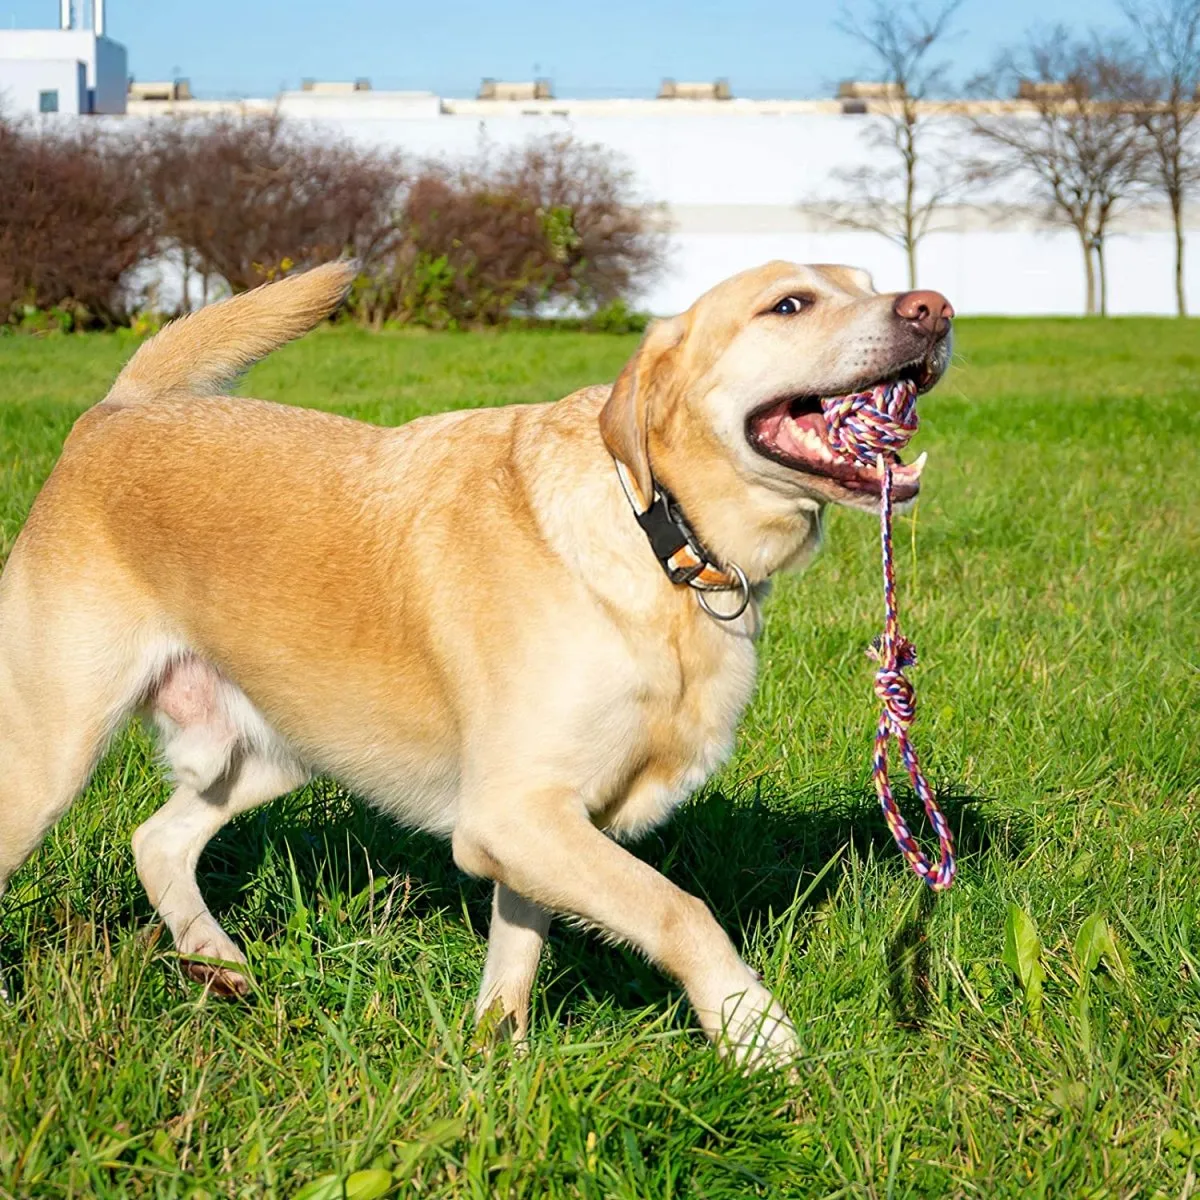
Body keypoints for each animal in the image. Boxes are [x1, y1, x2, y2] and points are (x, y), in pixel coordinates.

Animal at [0, 262, 950, 1070]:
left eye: (869, 281)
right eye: (789, 304)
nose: (934, 308)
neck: (658, 531)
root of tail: (117, 411)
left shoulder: (542, 821)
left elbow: (517, 955)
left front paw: (498, 1062)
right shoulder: (514, 814)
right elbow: (680, 910)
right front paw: (755, 1032)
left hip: (280, 748)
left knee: (157, 839)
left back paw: (218, 962)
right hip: (48, 760)